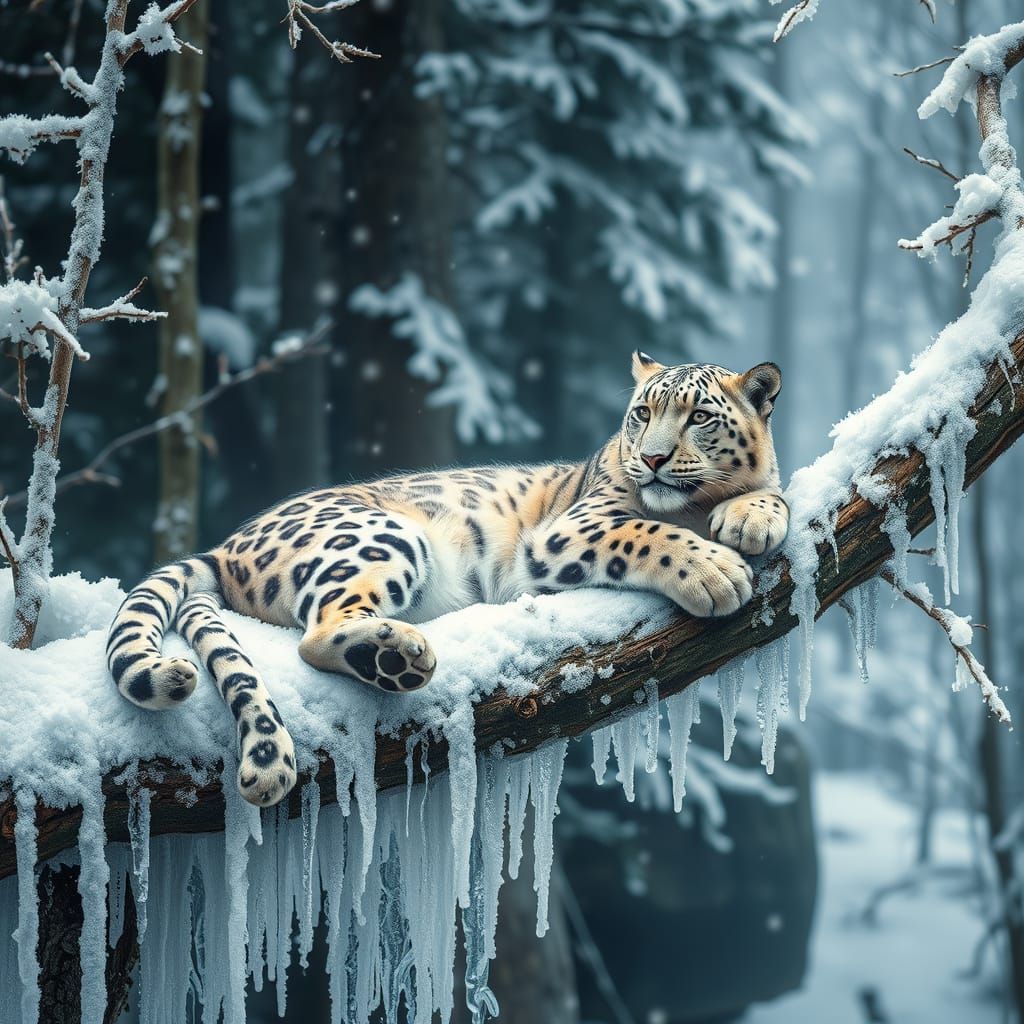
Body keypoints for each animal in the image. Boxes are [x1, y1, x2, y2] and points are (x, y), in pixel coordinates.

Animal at [107, 353, 789, 807]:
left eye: (698, 416)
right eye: (642, 413)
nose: (650, 458)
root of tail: (228, 543)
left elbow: (772, 492)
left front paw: (752, 518)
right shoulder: (574, 527)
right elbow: (648, 533)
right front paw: (715, 570)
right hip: (382, 537)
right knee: (318, 631)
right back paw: (400, 653)